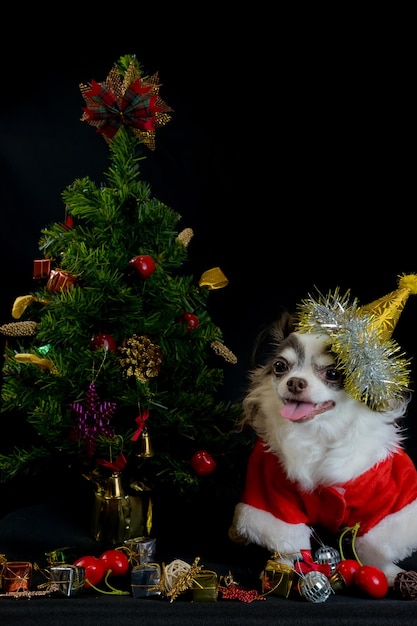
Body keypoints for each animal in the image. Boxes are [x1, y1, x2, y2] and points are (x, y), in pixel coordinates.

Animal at [229, 312, 417, 584]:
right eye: (280, 367)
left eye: (333, 374)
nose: (295, 382)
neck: (318, 431)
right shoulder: (271, 492)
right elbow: (284, 538)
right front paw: (280, 568)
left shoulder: (388, 493)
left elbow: (378, 541)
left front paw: (389, 572)